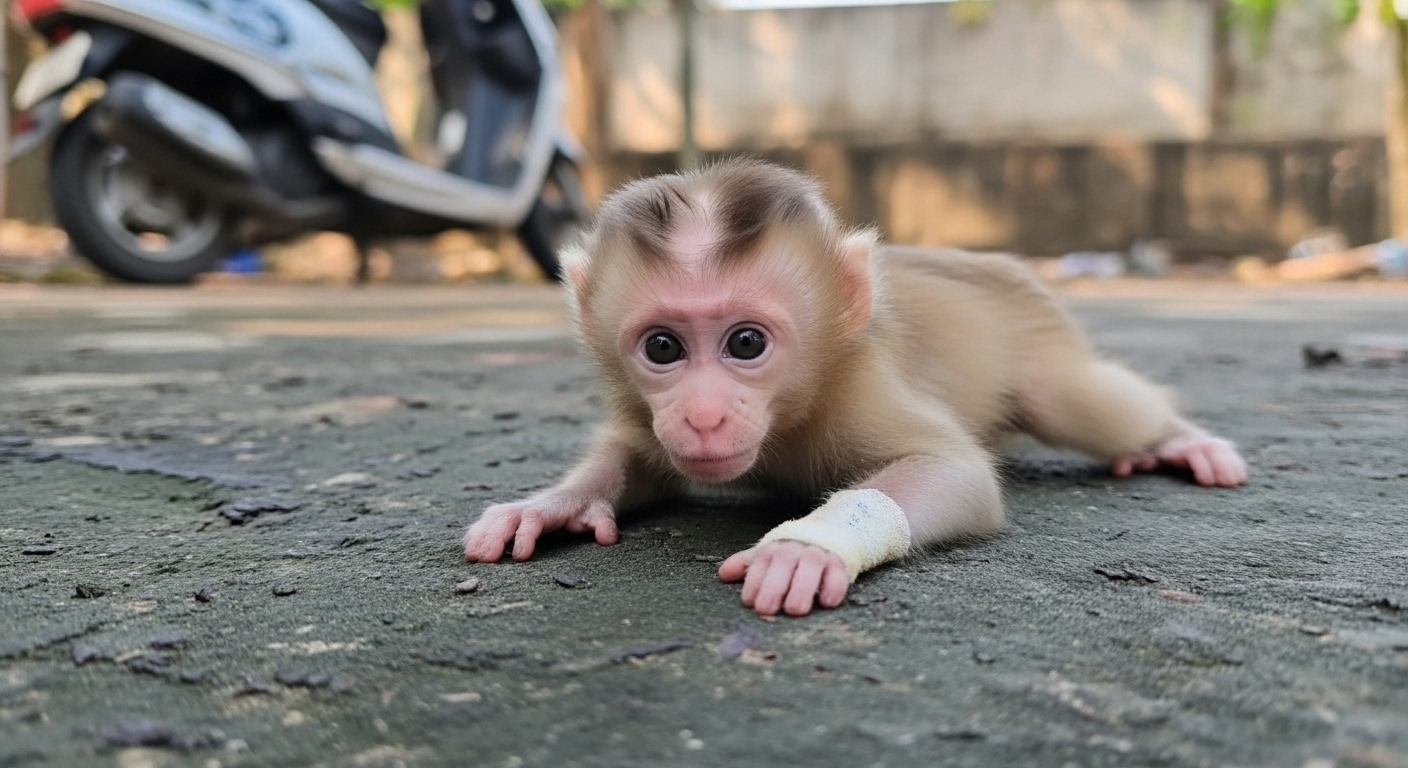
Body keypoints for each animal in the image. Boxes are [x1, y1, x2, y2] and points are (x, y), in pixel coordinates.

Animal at [463, 158, 1247, 617]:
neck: (790, 410)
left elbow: (953, 472)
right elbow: (638, 459)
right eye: (663, 348)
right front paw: (553, 505)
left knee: (1069, 397)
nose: (705, 417)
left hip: (1040, 331)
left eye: (746, 343)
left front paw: (806, 548)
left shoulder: (857, 385)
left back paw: (1179, 439)